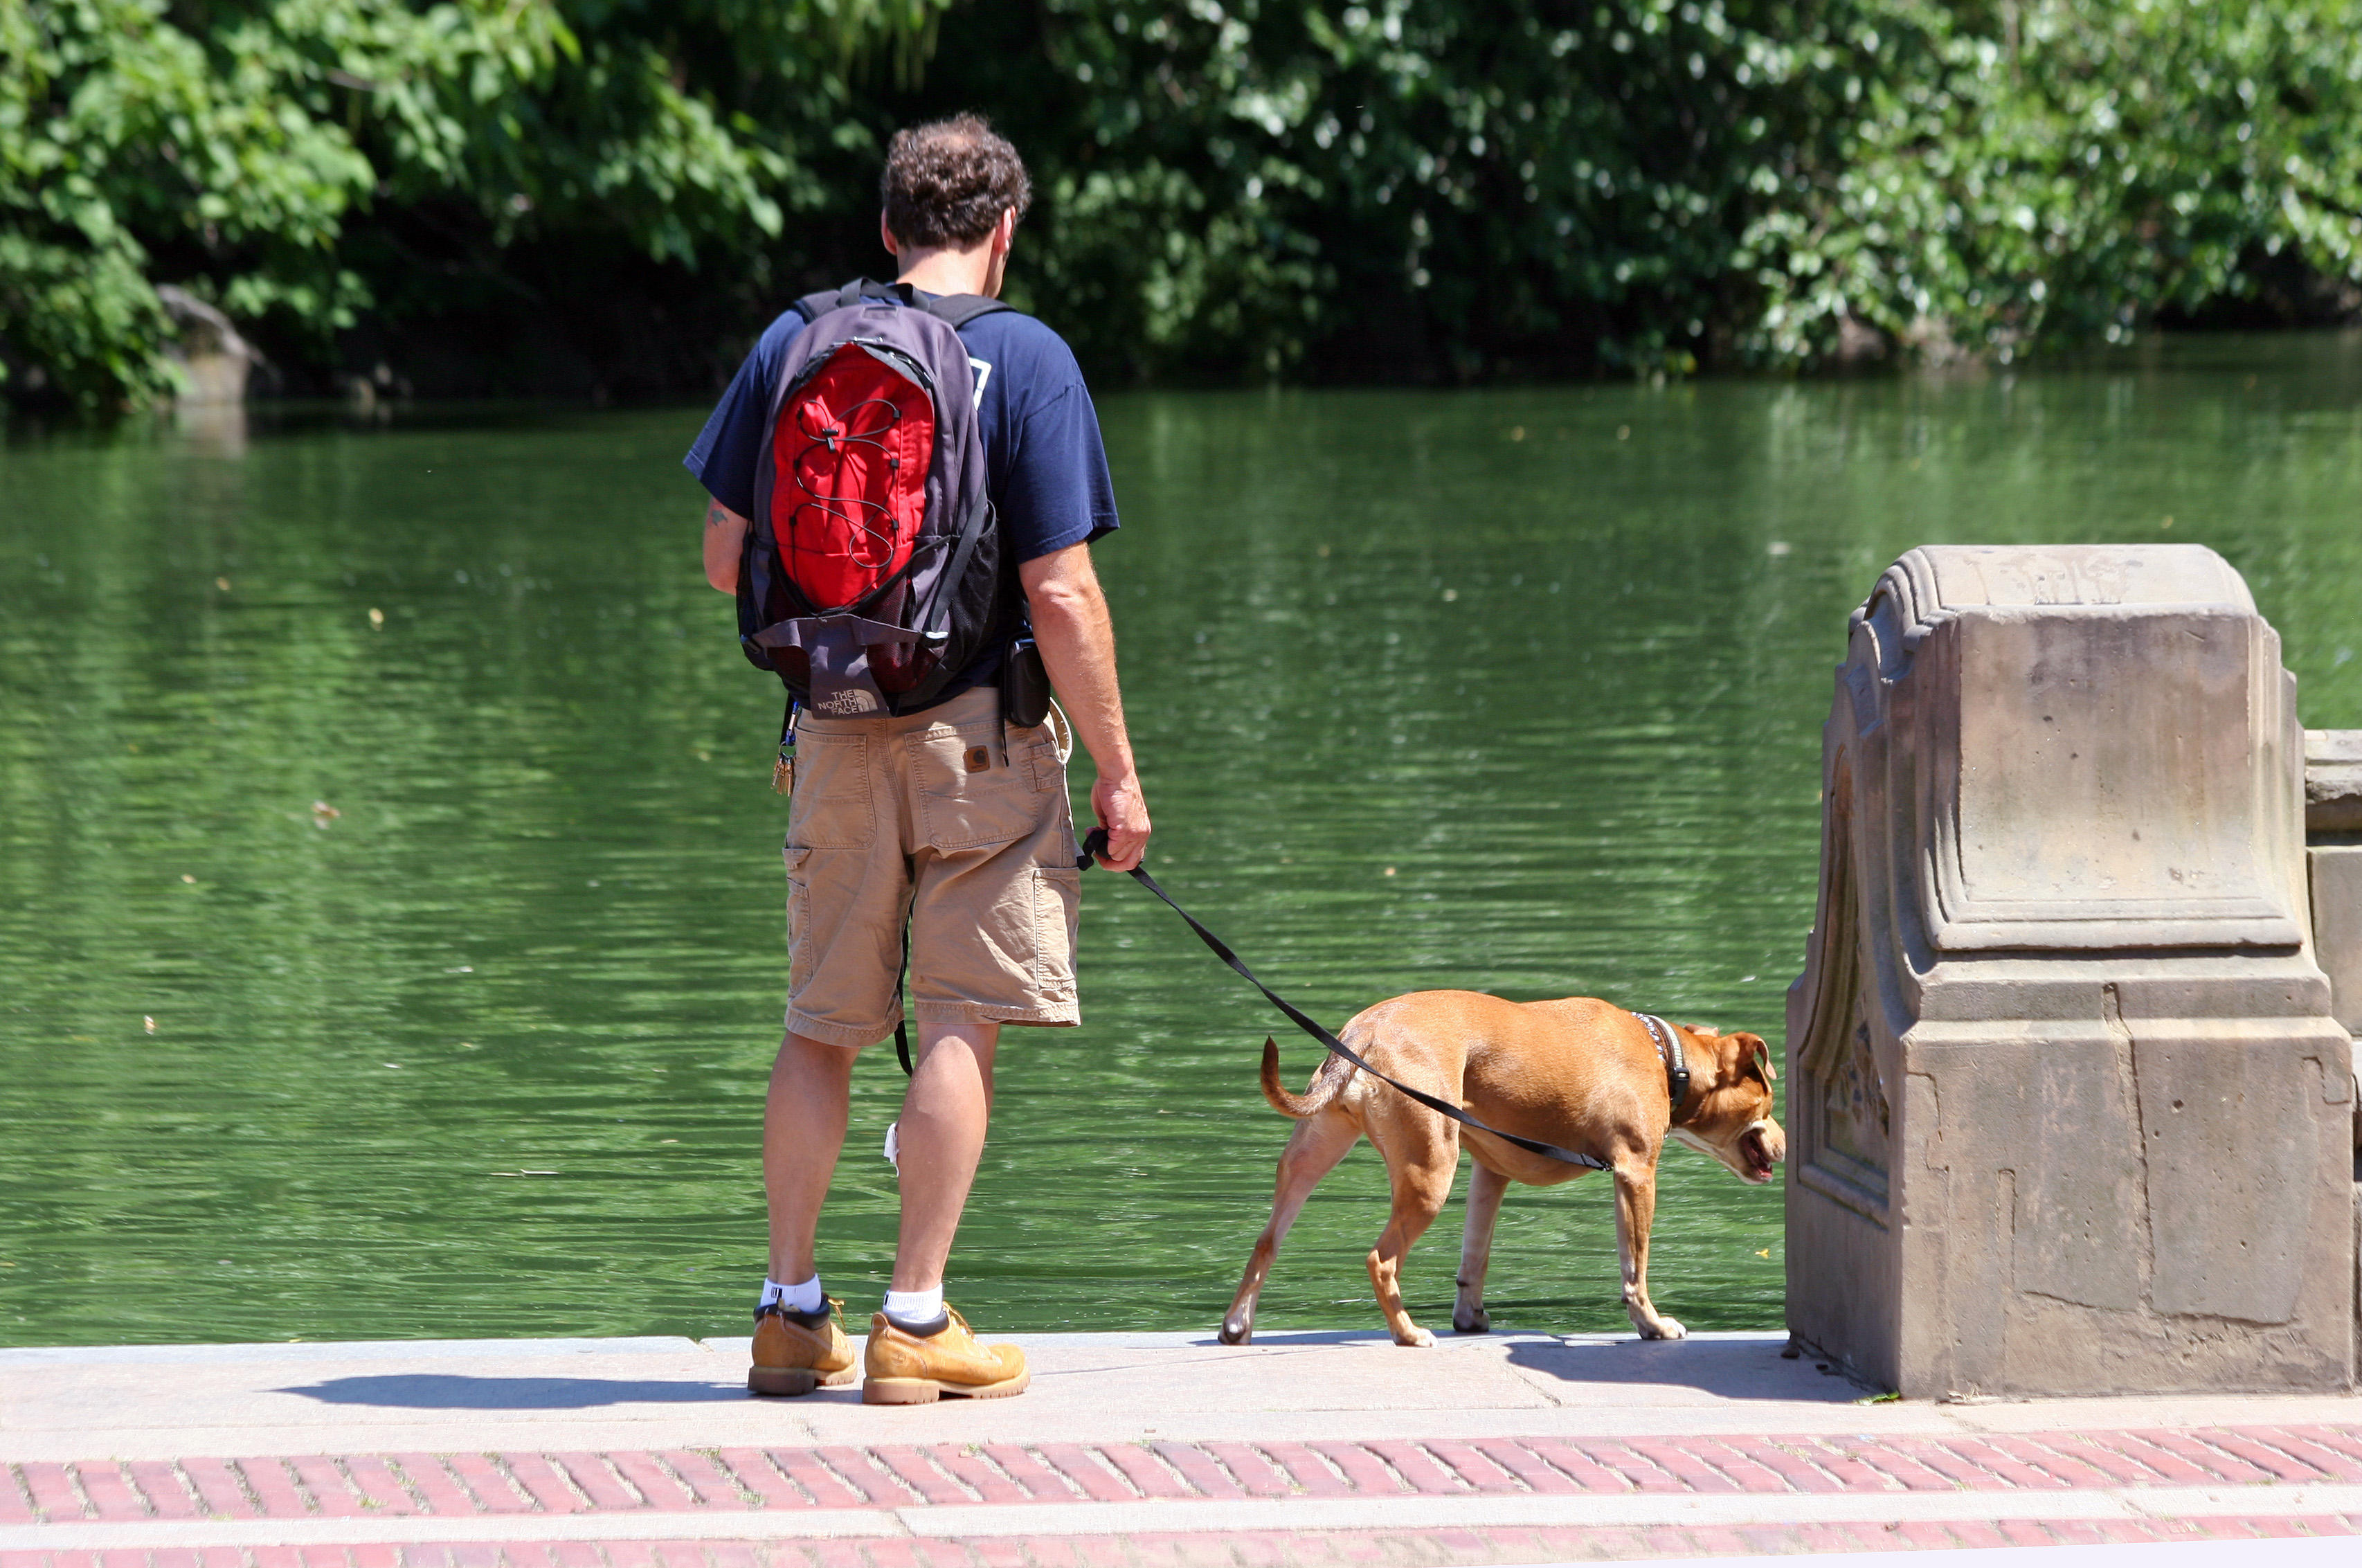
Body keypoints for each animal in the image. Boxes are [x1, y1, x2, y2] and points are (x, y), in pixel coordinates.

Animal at [1218, 991, 1785, 1351]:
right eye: (1769, 1101)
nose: (1783, 1141)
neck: (1666, 1056)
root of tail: (1364, 1034)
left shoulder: (1489, 1174)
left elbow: (1475, 1258)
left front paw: (1470, 1319)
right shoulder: (1636, 1173)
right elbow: (1634, 1268)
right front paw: (1652, 1324)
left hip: (1312, 1154)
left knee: (1266, 1242)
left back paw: (1236, 1326)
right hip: (1430, 1173)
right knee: (1382, 1260)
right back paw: (1407, 1332)